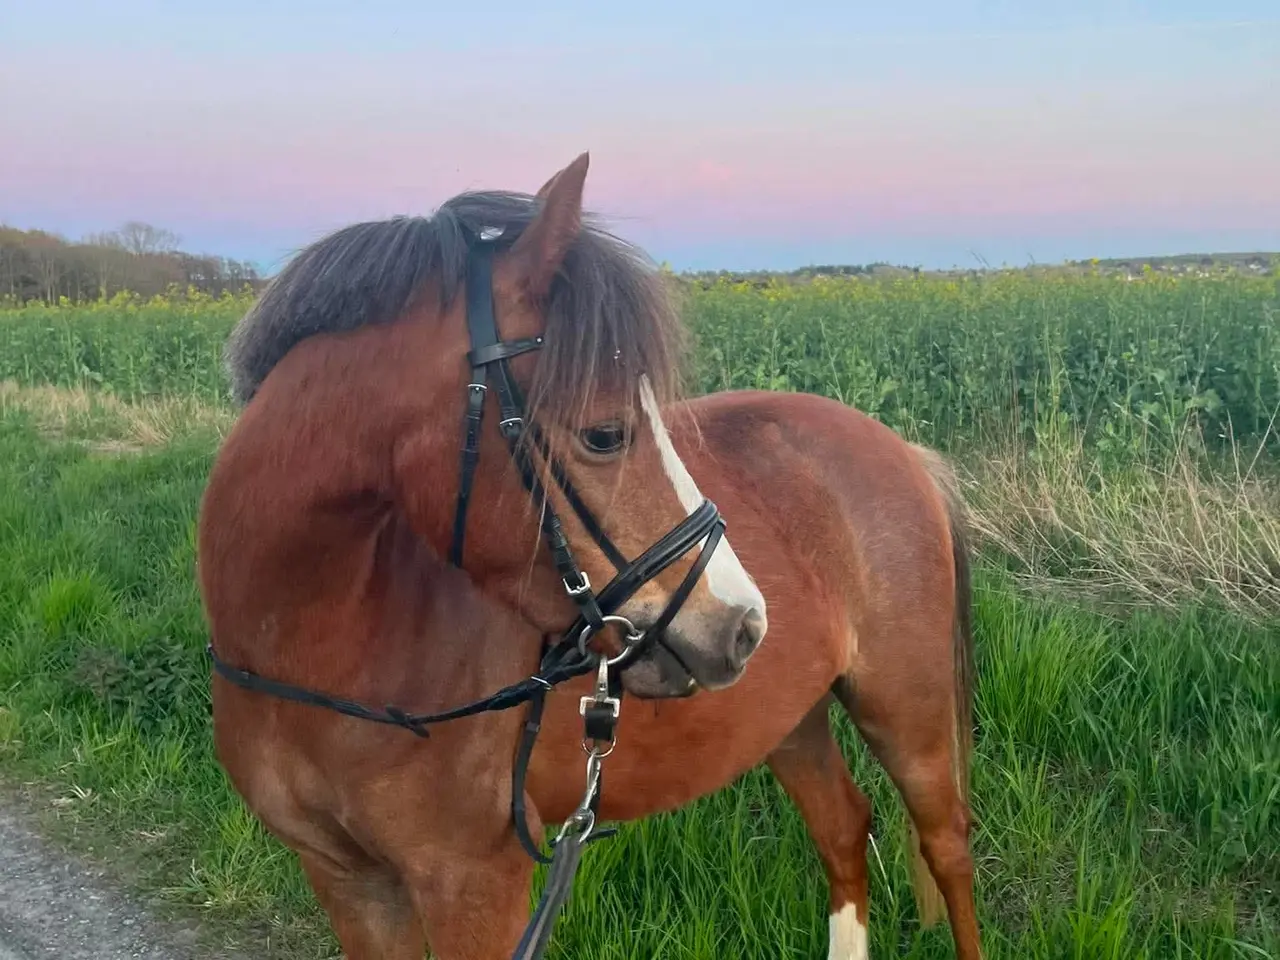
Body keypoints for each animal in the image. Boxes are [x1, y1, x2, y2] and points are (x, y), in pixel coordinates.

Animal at [196, 153, 980, 960]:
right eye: (605, 435)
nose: (742, 623)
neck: (320, 652)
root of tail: (903, 450)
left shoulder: (474, 885)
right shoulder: (348, 883)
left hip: (906, 712)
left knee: (947, 846)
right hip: (792, 719)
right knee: (843, 829)